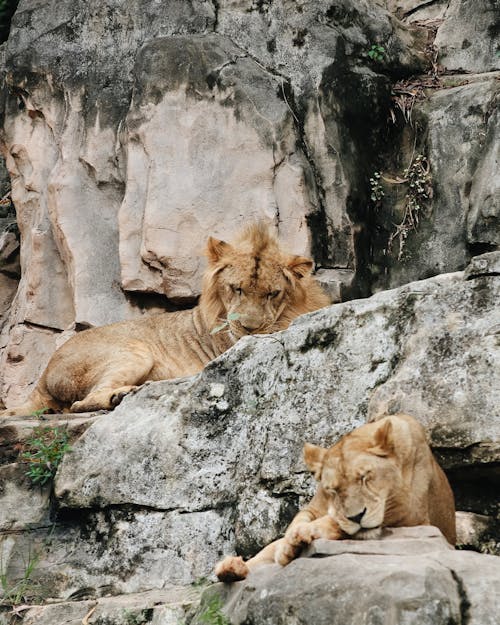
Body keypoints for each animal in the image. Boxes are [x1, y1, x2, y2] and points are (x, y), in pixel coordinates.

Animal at [0, 222, 330, 416]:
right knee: (81, 402)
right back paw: (121, 395)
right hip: (134, 351)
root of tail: (43, 374)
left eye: (273, 294)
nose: (249, 327)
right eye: (236, 289)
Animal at [215, 412, 454, 584]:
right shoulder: (315, 506)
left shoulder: (411, 511)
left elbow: (334, 522)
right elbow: (298, 521)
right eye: (334, 490)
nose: (357, 517)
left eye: (364, 478)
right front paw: (288, 545)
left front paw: (303, 535)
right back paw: (231, 568)